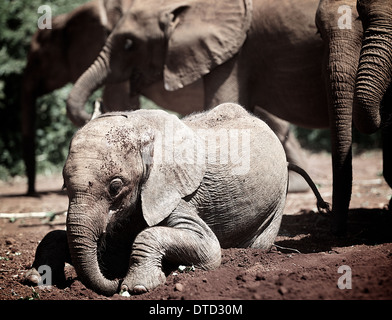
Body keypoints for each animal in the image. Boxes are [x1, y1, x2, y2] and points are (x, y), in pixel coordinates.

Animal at [24, 104, 328, 296]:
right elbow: (54, 236)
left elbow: (208, 248)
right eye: (64, 184)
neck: (142, 130)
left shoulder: (173, 191)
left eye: (115, 186)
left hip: (277, 201)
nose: (113, 278)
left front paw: (135, 287)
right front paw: (34, 281)